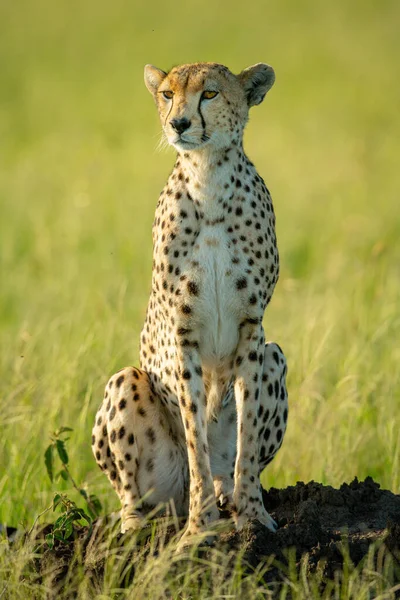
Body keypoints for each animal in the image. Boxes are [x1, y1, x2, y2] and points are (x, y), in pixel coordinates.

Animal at [92, 62, 290, 548]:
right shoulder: (182, 334)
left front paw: (252, 518)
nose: (178, 123)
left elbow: (248, 435)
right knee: (135, 496)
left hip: (275, 355)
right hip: (126, 387)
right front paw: (200, 530)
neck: (209, 177)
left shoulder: (252, 328)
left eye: (210, 94)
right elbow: (194, 431)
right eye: (167, 94)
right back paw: (136, 530)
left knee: (227, 467)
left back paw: (227, 498)